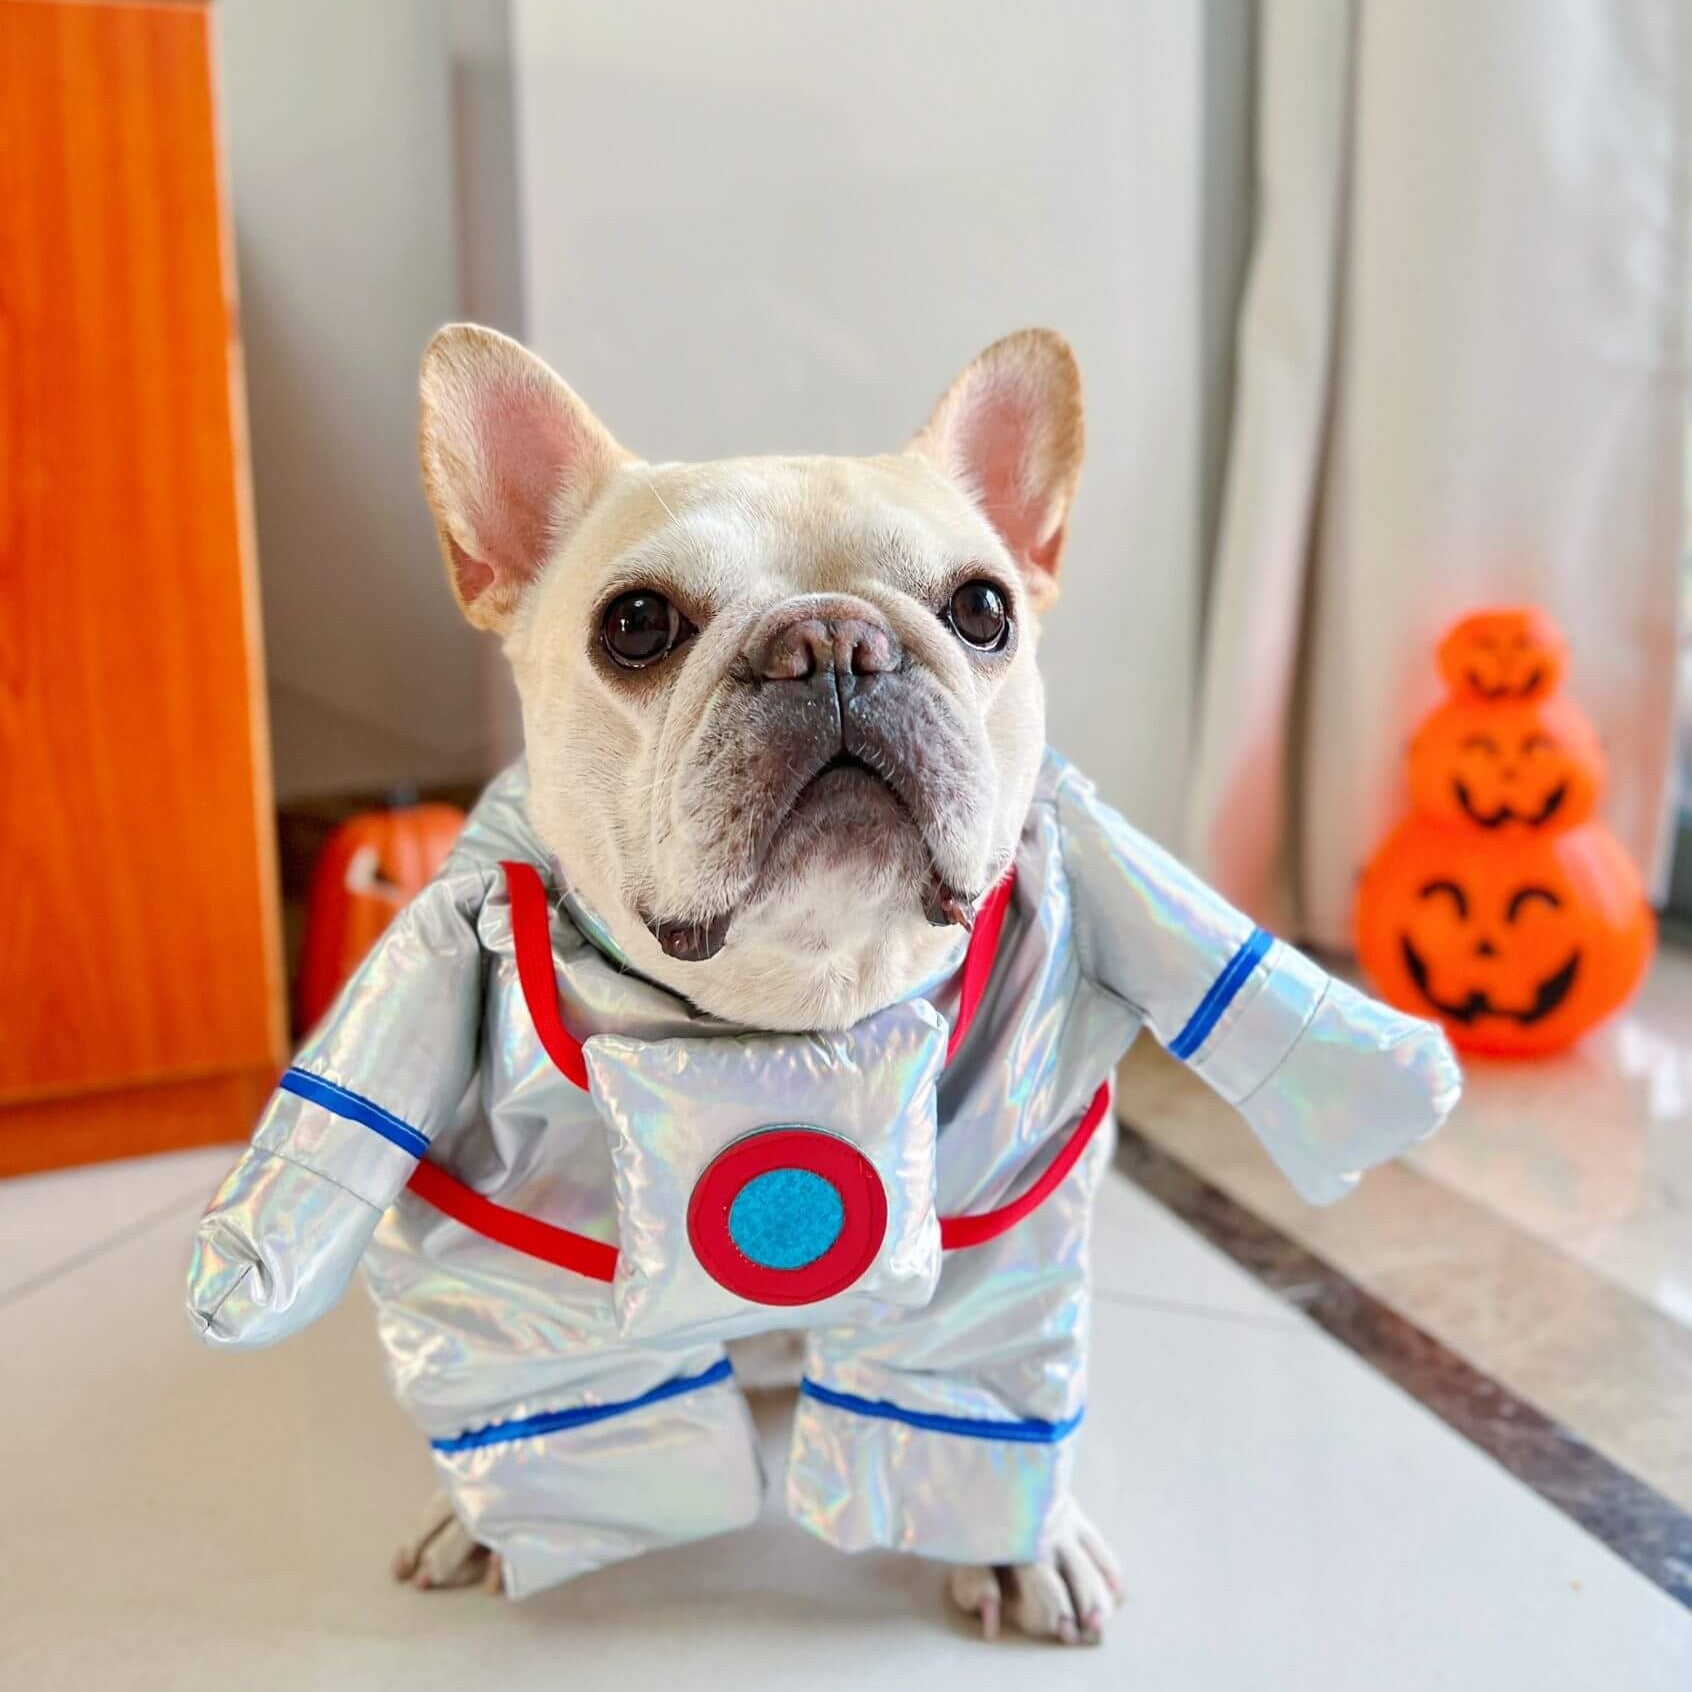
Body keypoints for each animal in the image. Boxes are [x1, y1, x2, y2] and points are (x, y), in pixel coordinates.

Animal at [399, 323, 1123, 1644]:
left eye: (983, 608)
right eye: (636, 624)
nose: (833, 640)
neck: (799, 1016)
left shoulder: (1007, 1228)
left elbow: (990, 1377)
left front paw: (1018, 1542)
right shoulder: (506, 1227)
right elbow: (530, 1381)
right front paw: (489, 1518)